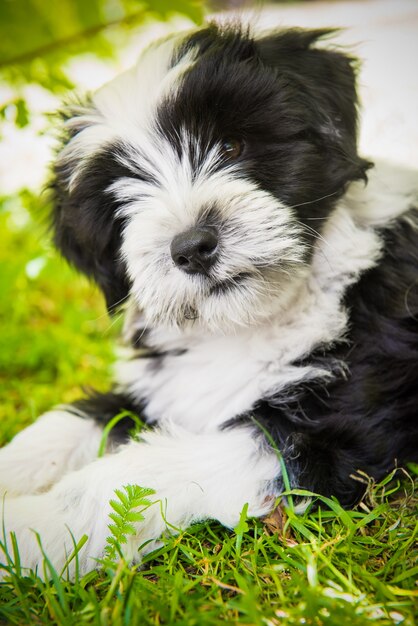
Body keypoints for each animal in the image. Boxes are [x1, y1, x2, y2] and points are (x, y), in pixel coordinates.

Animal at [0, 19, 418, 576]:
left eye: (233, 146)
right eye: (120, 197)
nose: (193, 247)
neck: (248, 323)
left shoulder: (332, 433)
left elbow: (136, 472)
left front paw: (28, 529)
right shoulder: (162, 387)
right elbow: (75, 421)